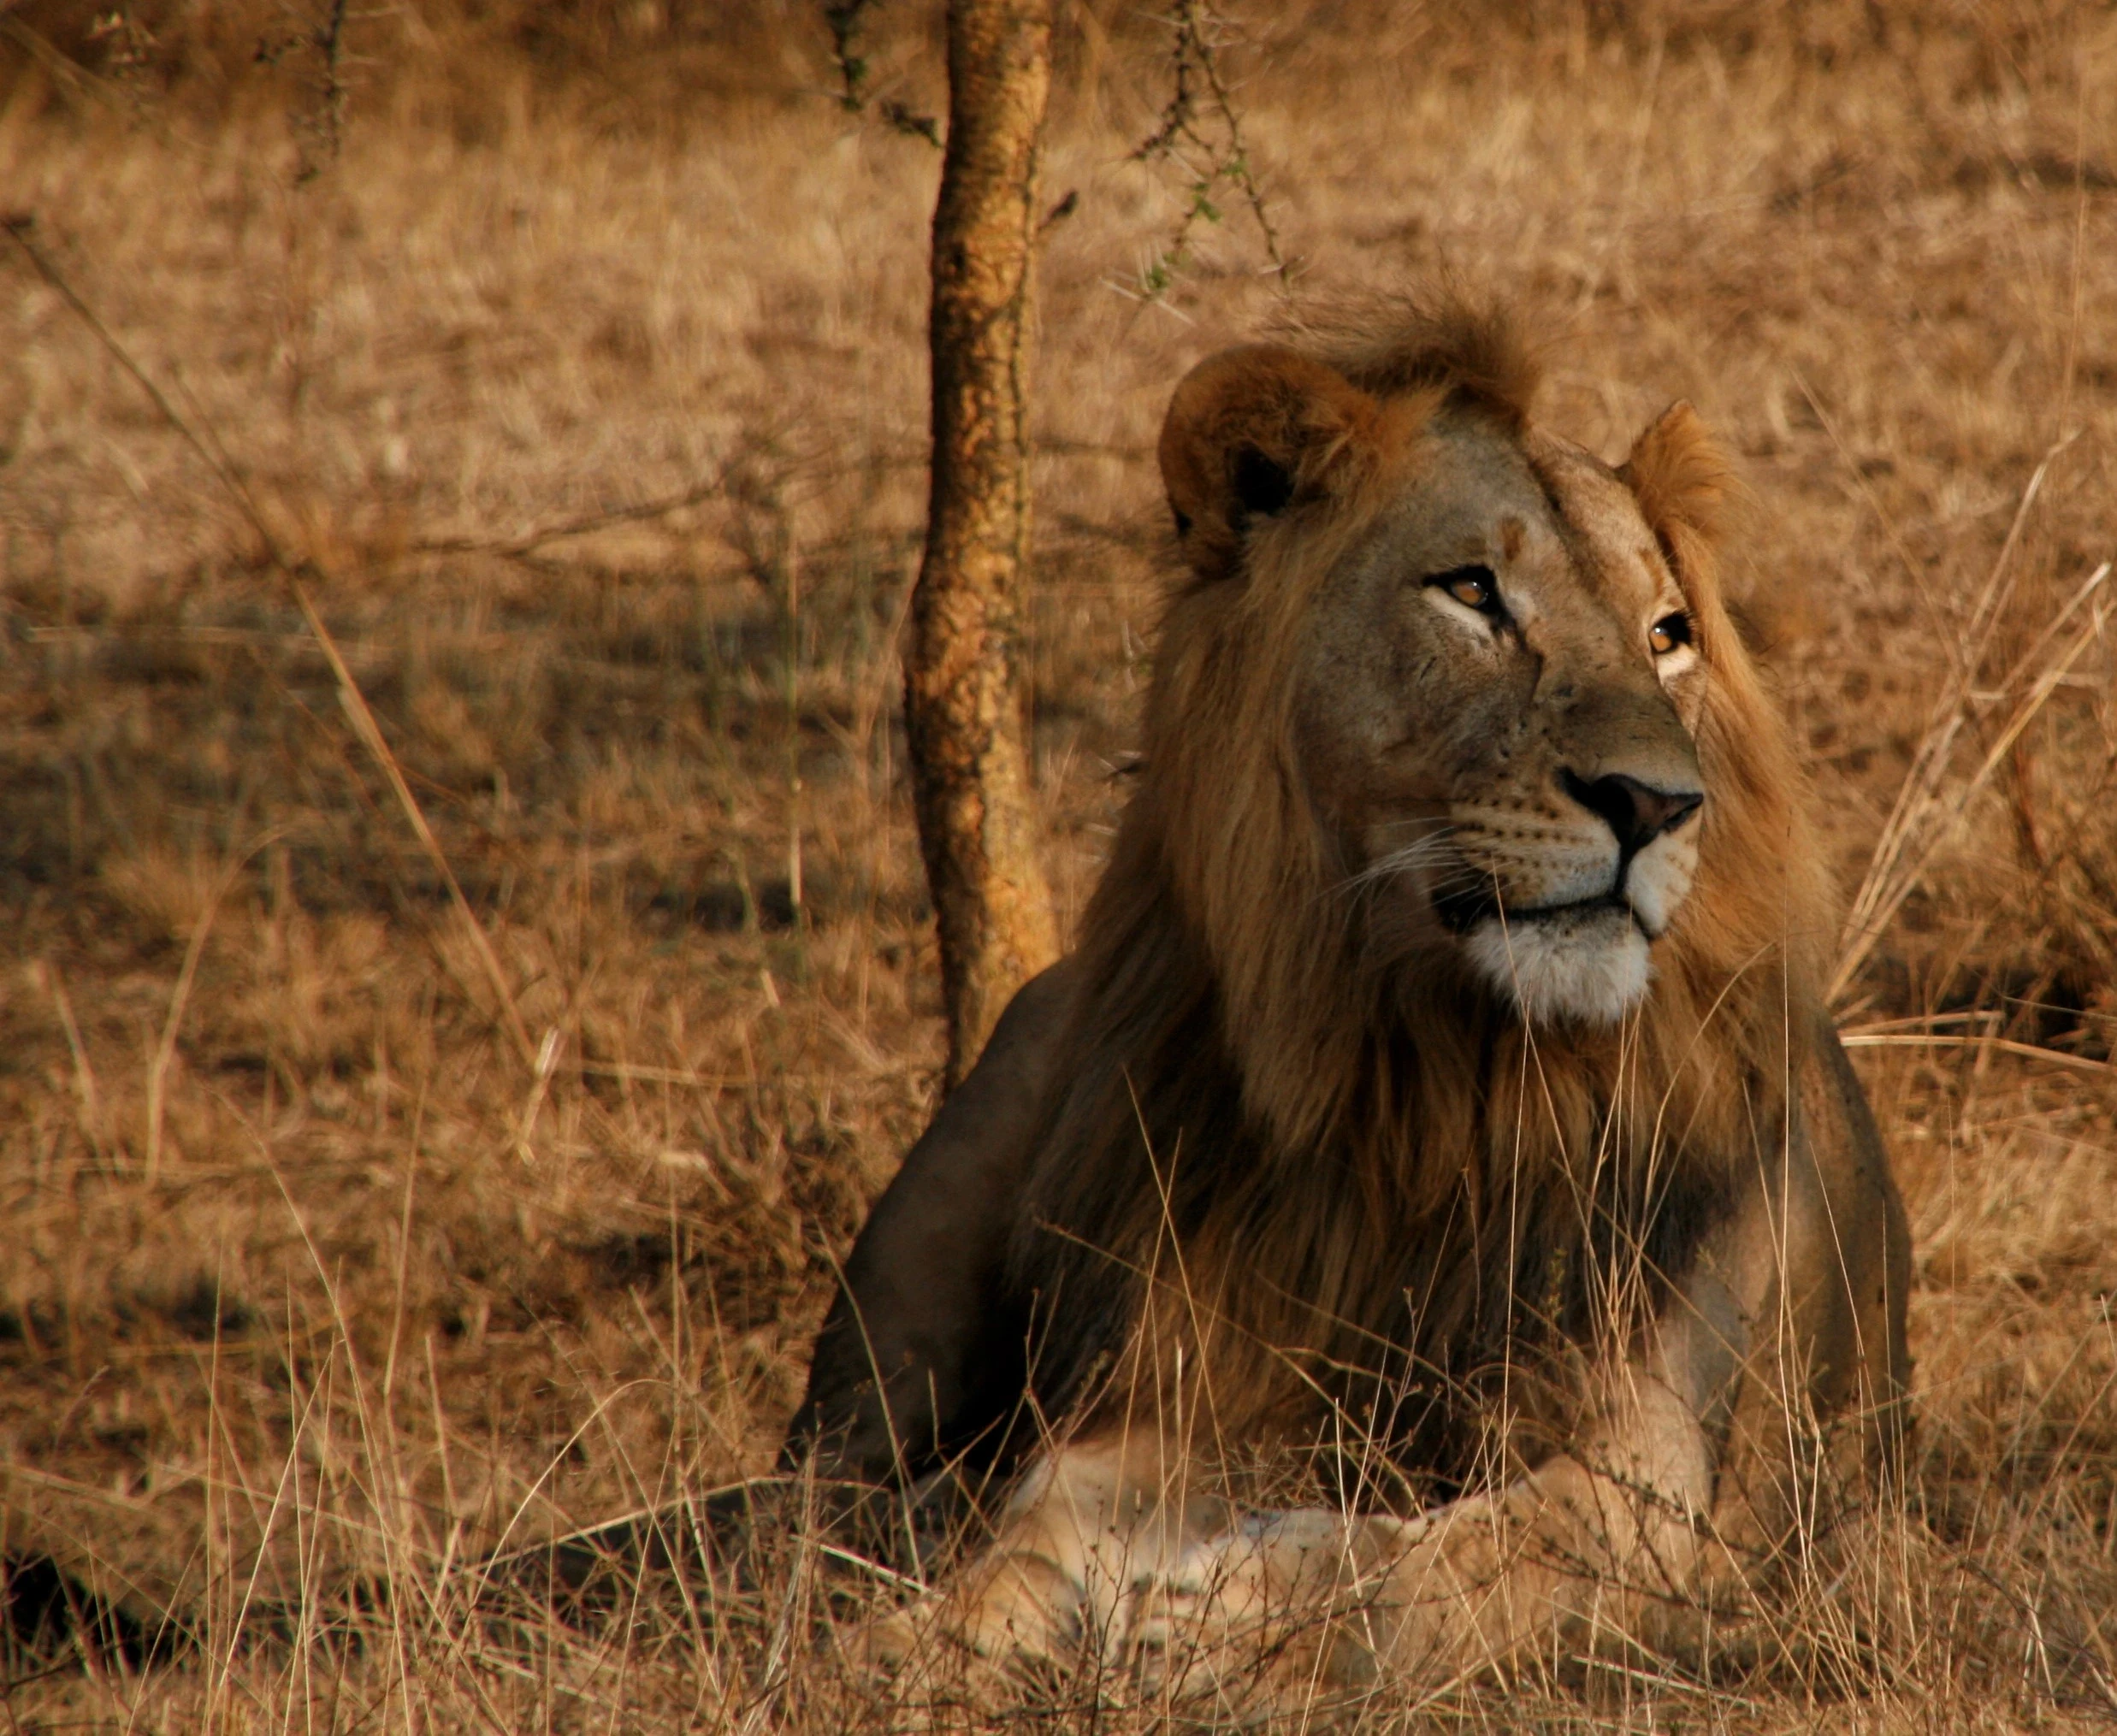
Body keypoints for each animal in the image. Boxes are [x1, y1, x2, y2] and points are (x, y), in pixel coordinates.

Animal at [786, 290, 1911, 1703]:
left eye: (1669, 636)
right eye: (1472, 591)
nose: (1656, 804)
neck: (1428, 1073)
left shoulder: (1659, 1471)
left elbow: (1424, 1564)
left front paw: (1207, 1616)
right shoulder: (1170, 1378)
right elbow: (1034, 1526)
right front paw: (923, 1640)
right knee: (818, 1483)